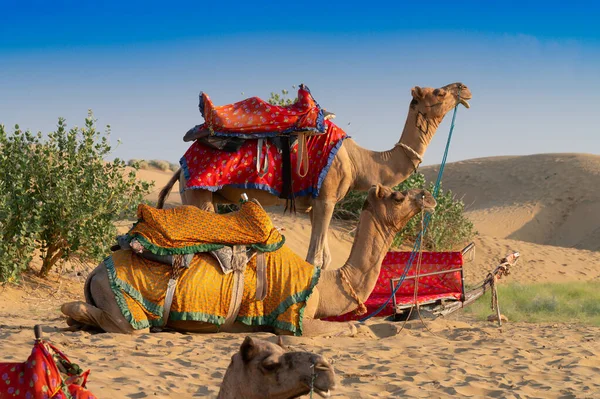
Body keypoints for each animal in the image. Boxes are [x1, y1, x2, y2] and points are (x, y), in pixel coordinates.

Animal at [61, 184, 436, 338]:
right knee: (113, 320)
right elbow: (356, 328)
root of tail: (95, 272)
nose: (427, 196)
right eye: (398, 196)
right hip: (124, 305)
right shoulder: (294, 320)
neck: (324, 283)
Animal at [156, 81, 468, 270]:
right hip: (198, 193)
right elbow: (314, 258)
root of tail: (182, 163)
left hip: (199, 197)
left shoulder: (313, 204)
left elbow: (324, 257)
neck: (357, 161)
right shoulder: (327, 198)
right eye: (439, 92)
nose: (464, 88)